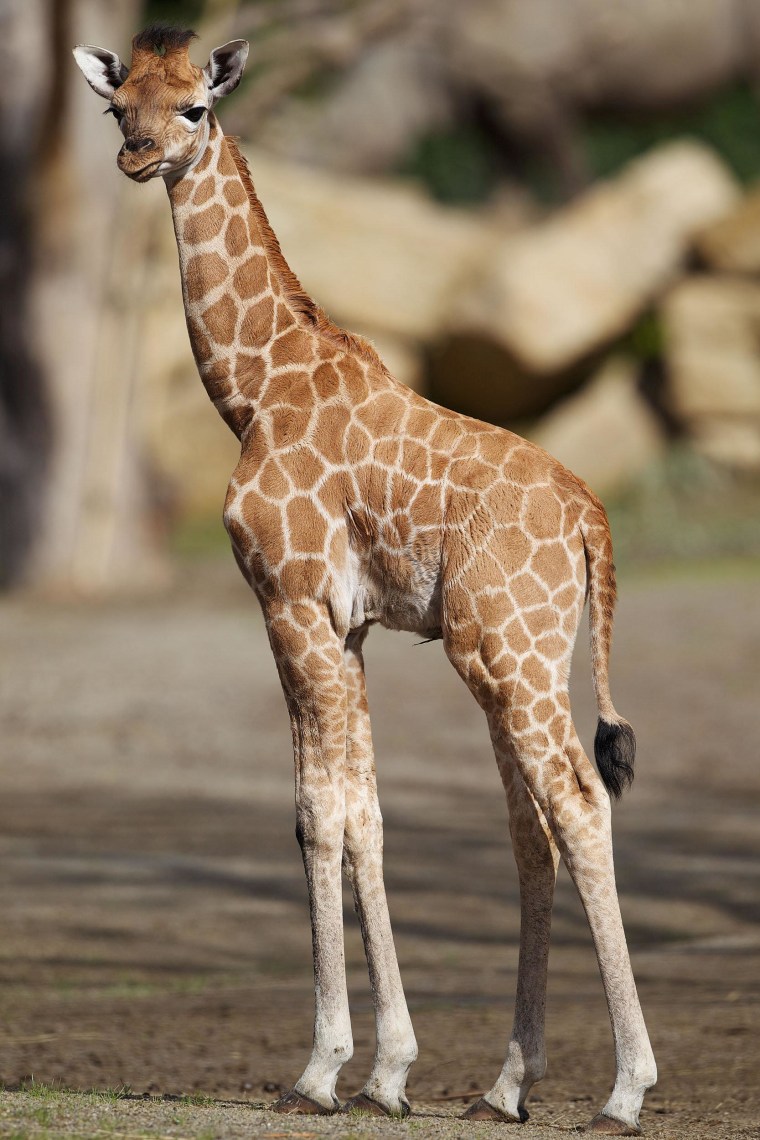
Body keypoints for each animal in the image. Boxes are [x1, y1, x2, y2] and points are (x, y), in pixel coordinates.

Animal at [74, 24, 656, 1130]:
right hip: (521, 655)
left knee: (577, 802)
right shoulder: (345, 625)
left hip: (504, 650)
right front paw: (388, 1073)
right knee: (532, 827)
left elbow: (318, 816)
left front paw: (323, 1071)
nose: (137, 157)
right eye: (117, 105)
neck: (252, 392)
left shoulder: (290, 602)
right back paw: (504, 1088)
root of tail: (591, 521)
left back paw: (624, 1091)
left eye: (194, 109)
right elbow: (365, 815)